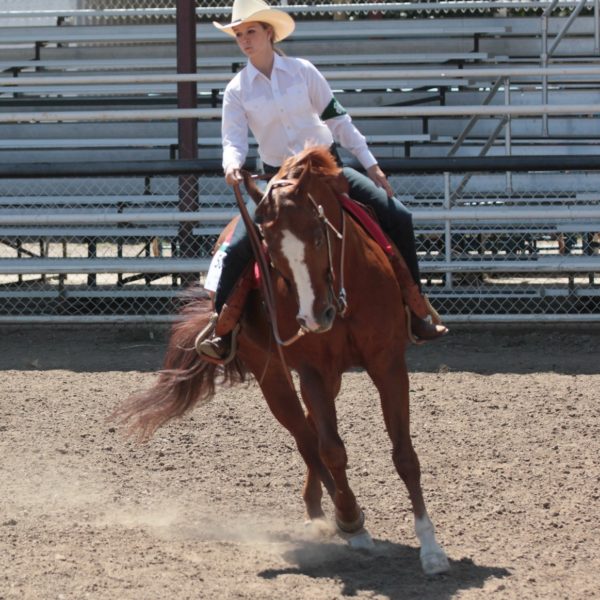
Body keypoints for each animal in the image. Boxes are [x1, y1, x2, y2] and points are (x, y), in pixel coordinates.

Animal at [115, 148, 448, 576]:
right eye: (269, 250)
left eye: (320, 235)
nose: (313, 317)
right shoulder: (312, 372)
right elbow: (332, 450)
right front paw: (352, 521)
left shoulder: (388, 362)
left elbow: (404, 453)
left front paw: (431, 548)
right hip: (271, 373)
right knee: (306, 437)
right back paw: (337, 514)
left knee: (310, 430)